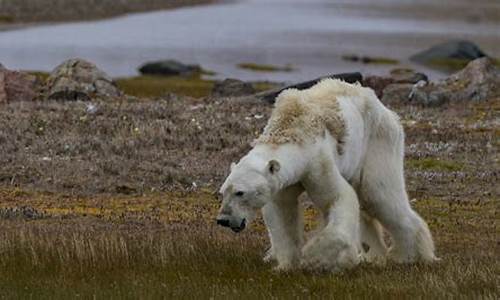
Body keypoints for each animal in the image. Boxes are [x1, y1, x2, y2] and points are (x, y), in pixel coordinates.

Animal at [215, 78, 438, 272]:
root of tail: (387, 110)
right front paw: (285, 265)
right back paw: (372, 255)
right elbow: (282, 212)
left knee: (378, 194)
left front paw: (313, 256)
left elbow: (337, 198)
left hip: (377, 141)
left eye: (240, 192)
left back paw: (408, 255)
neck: (291, 130)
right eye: (223, 192)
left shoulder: (317, 162)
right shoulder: (283, 181)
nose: (223, 220)